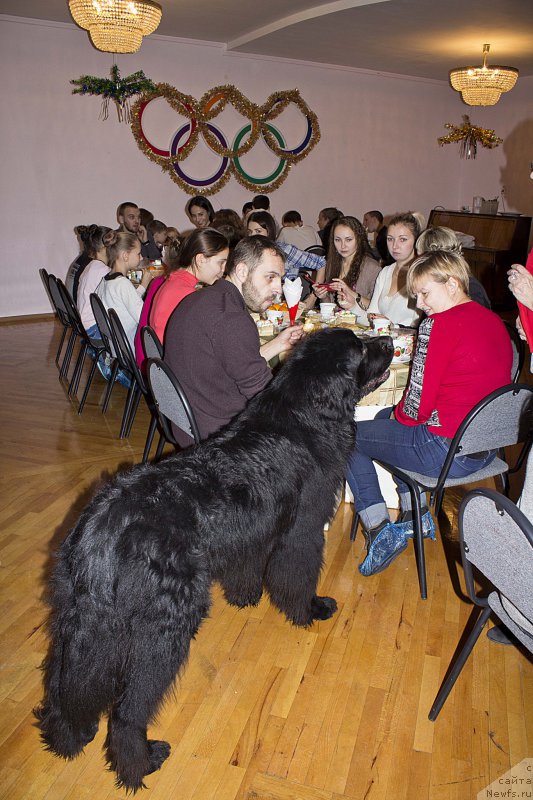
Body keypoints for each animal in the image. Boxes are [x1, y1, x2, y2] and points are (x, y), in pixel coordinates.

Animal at [36, 328, 390, 792]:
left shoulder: (252, 530)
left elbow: (246, 568)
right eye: (361, 348)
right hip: (162, 632)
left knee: (64, 683)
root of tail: (104, 526)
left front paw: (245, 598)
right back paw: (141, 763)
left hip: (81, 626)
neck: (304, 413)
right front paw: (309, 610)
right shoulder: (304, 528)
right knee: (128, 713)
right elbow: (297, 575)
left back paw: (68, 735)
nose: (390, 341)